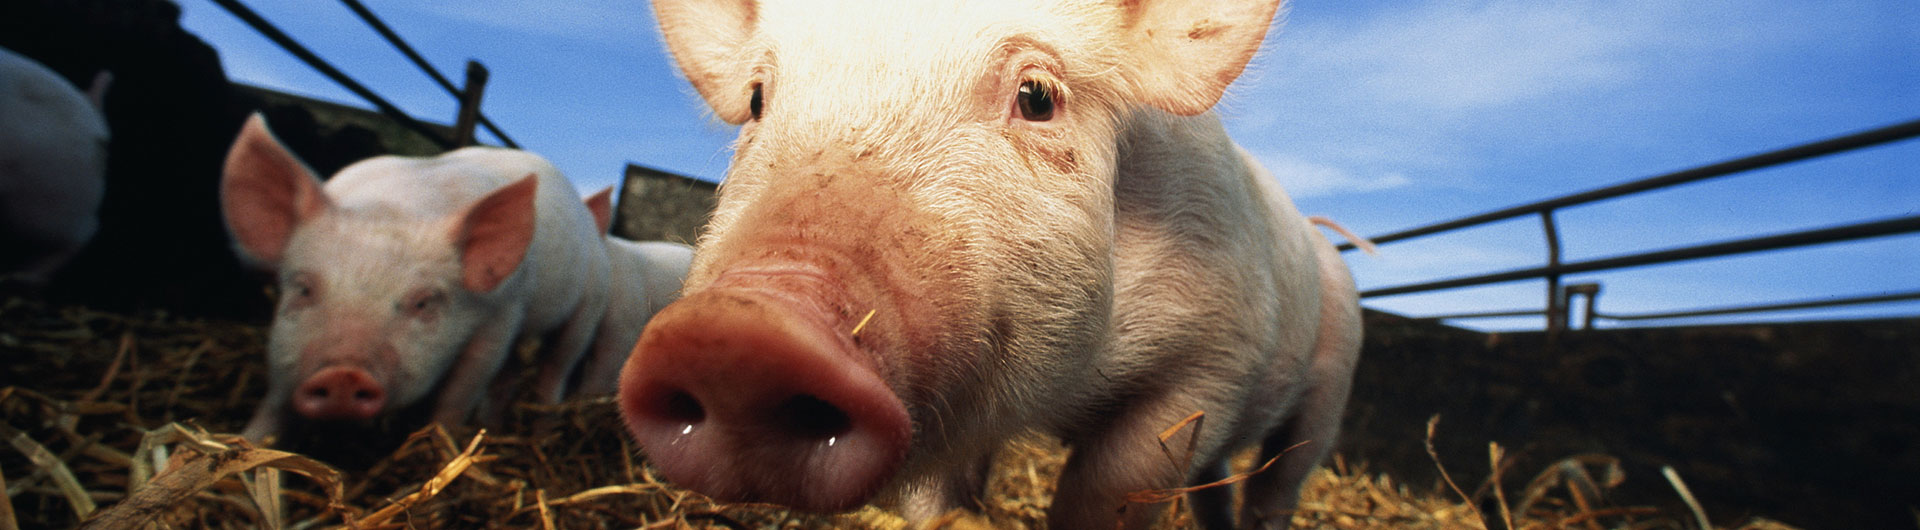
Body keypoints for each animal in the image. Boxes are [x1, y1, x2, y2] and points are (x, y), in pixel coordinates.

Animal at [222, 114, 612, 441]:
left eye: (423, 302)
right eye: (303, 288)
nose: (343, 374)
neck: (395, 207)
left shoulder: (503, 312)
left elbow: (461, 391)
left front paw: (442, 448)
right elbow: (276, 395)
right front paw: (247, 442)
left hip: (589, 306)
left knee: (556, 369)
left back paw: (542, 432)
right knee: (512, 373)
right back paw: (492, 427)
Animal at [616, 1, 1361, 529]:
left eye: (1036, 96)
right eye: (757, 100)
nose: (738, 329)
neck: (1063, 397)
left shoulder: (1211, 359)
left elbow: (1109, 491)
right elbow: (940, 502)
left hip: (1331, 390)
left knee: (1277, 484)